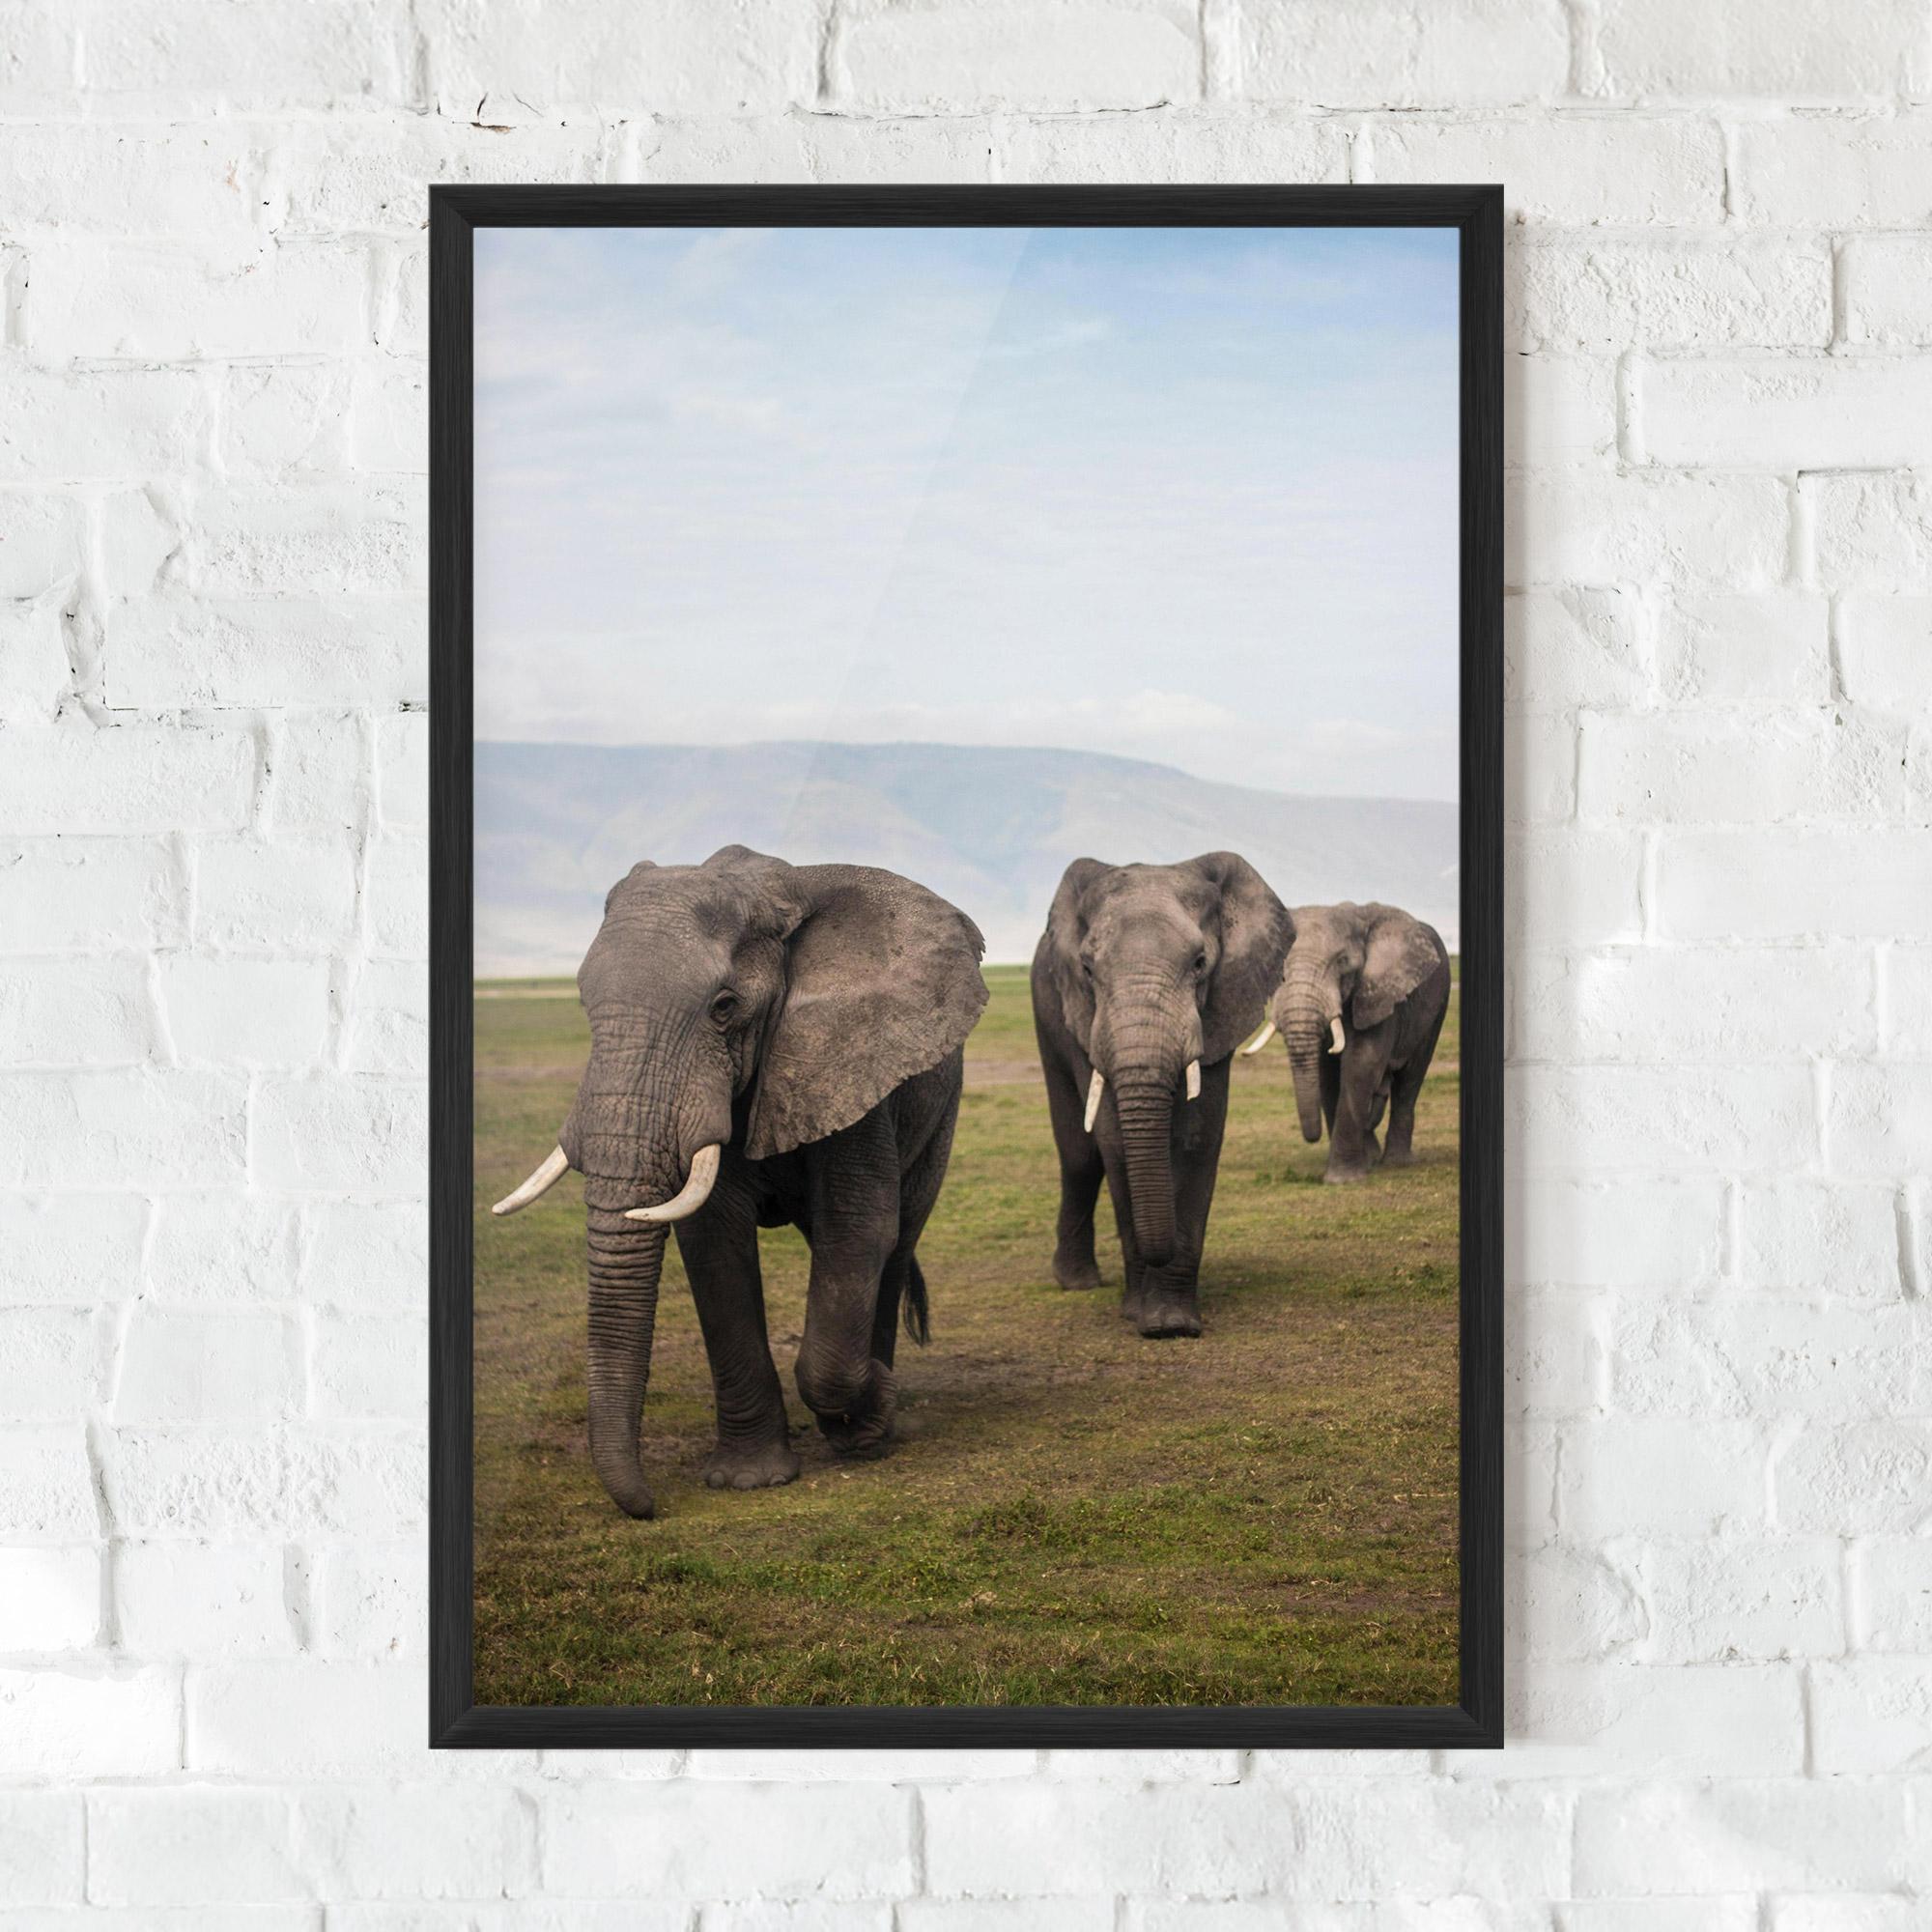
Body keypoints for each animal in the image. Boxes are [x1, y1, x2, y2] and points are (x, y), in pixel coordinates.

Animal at [491, 844, 988, 1520]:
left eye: (724, 1007)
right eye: (583, 1004)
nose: (649, 1506)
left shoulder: (849, 1058)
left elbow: (858, 1229)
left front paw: (869, 1414)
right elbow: (713, 1244)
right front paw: (748, 1480)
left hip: (942, 1109)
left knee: (897, 1237)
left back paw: (873, 1426)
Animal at [1031, 853, 1292, 1339]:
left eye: (1200, 963)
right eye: (1088, 970)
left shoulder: (1220, 1008)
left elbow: (1196, 1138)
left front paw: (1173, 1324)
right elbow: (1114, 1142)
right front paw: (1142, 1316)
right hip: (1047, 1012)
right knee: (1080, 1155)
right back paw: (1077, 1283)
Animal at [1241, 902, 1450, 1184]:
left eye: (1342, 962)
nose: (1312, 1137)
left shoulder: (1378, 994)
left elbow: (1361, 1063)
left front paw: (1342, 1180)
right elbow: (1328, 1075)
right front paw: (1361, 1165)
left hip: (1438, 1005)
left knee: (1411, 1078)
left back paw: (1397, 1162)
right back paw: (1373, 1157)